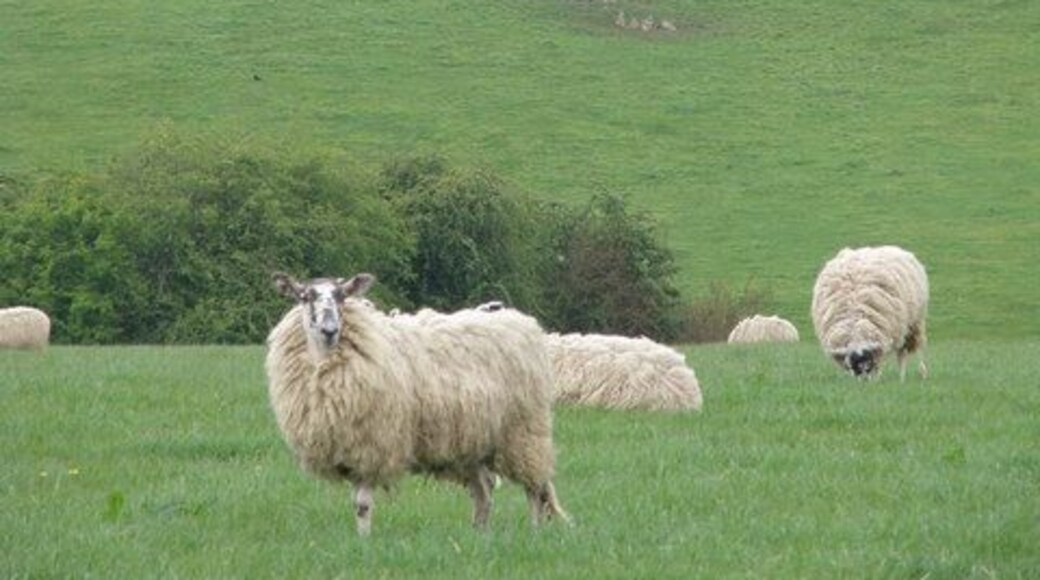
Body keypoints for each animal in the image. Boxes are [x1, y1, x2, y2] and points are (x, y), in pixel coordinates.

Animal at [265, 272, 568, 535]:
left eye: (342, 296)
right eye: (305, 296)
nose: (330, 330)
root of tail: (522, 321)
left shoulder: (373, 444)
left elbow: (362, 505)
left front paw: (364, 543)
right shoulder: (353, 447)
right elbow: (357, 504)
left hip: (523, 430)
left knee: (535, 488)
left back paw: (533, 532)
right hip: (472, 439)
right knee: (484, 491)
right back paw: (479, 533)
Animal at [811, 245, 929, 381]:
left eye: (868, 364)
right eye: (854, 366)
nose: (864, 382)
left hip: (914, 323)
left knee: (905, 352)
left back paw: (908, 376)